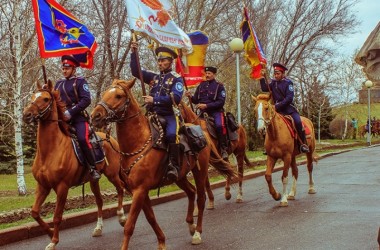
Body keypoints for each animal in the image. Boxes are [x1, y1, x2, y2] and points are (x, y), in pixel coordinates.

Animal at [21, 80, 126, 250]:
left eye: (45, 99)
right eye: (32, 96)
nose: (26, 114)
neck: (50, 151)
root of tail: (110, 139)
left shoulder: (62, 187)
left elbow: (57, 216)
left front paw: (54, 241)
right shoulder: (43, 186)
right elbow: (35, 212)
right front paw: (50, 233)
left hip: (112, 174)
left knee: (121, 189)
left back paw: (122, 218)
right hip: (94, 180)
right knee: (99, 201)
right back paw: (98, 228)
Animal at [90, 79, 236, 249]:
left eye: (118, 95)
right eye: (106, 92)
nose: (95, 116)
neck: (137, 143)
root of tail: (203, 132)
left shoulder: (140, 190)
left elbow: (130, 226)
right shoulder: (139, 191)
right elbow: (151, 218)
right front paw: (162, 242)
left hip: (200, 171)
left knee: (200, 198)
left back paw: (197, 233)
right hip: (179, 177)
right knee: (191, 192)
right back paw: (190, 225)